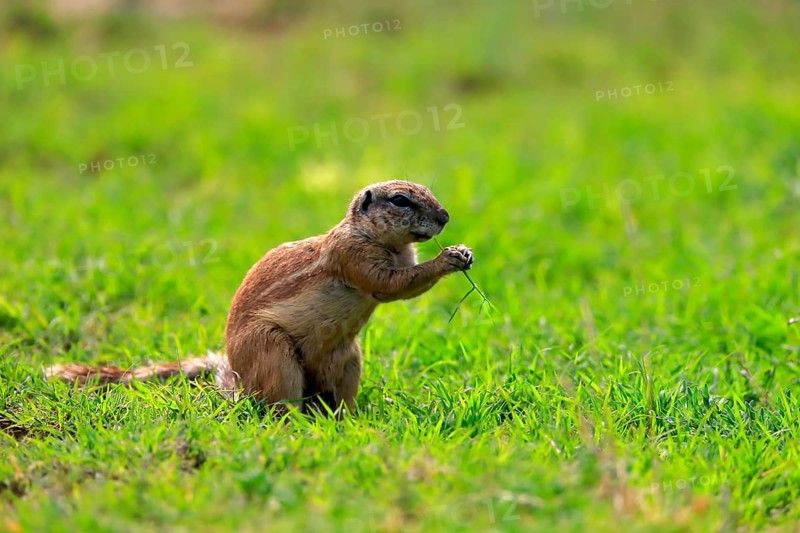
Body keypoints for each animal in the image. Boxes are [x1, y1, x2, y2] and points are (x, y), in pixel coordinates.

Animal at [45, 181, 474, 414]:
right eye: (401, 200)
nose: (445, 217)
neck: (381, 240)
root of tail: (238, 384)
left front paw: (464, 252)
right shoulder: (352, 256)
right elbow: (390, 285)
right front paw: (449, 257)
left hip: (348, 357)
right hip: (272, 352)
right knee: (278, 405)